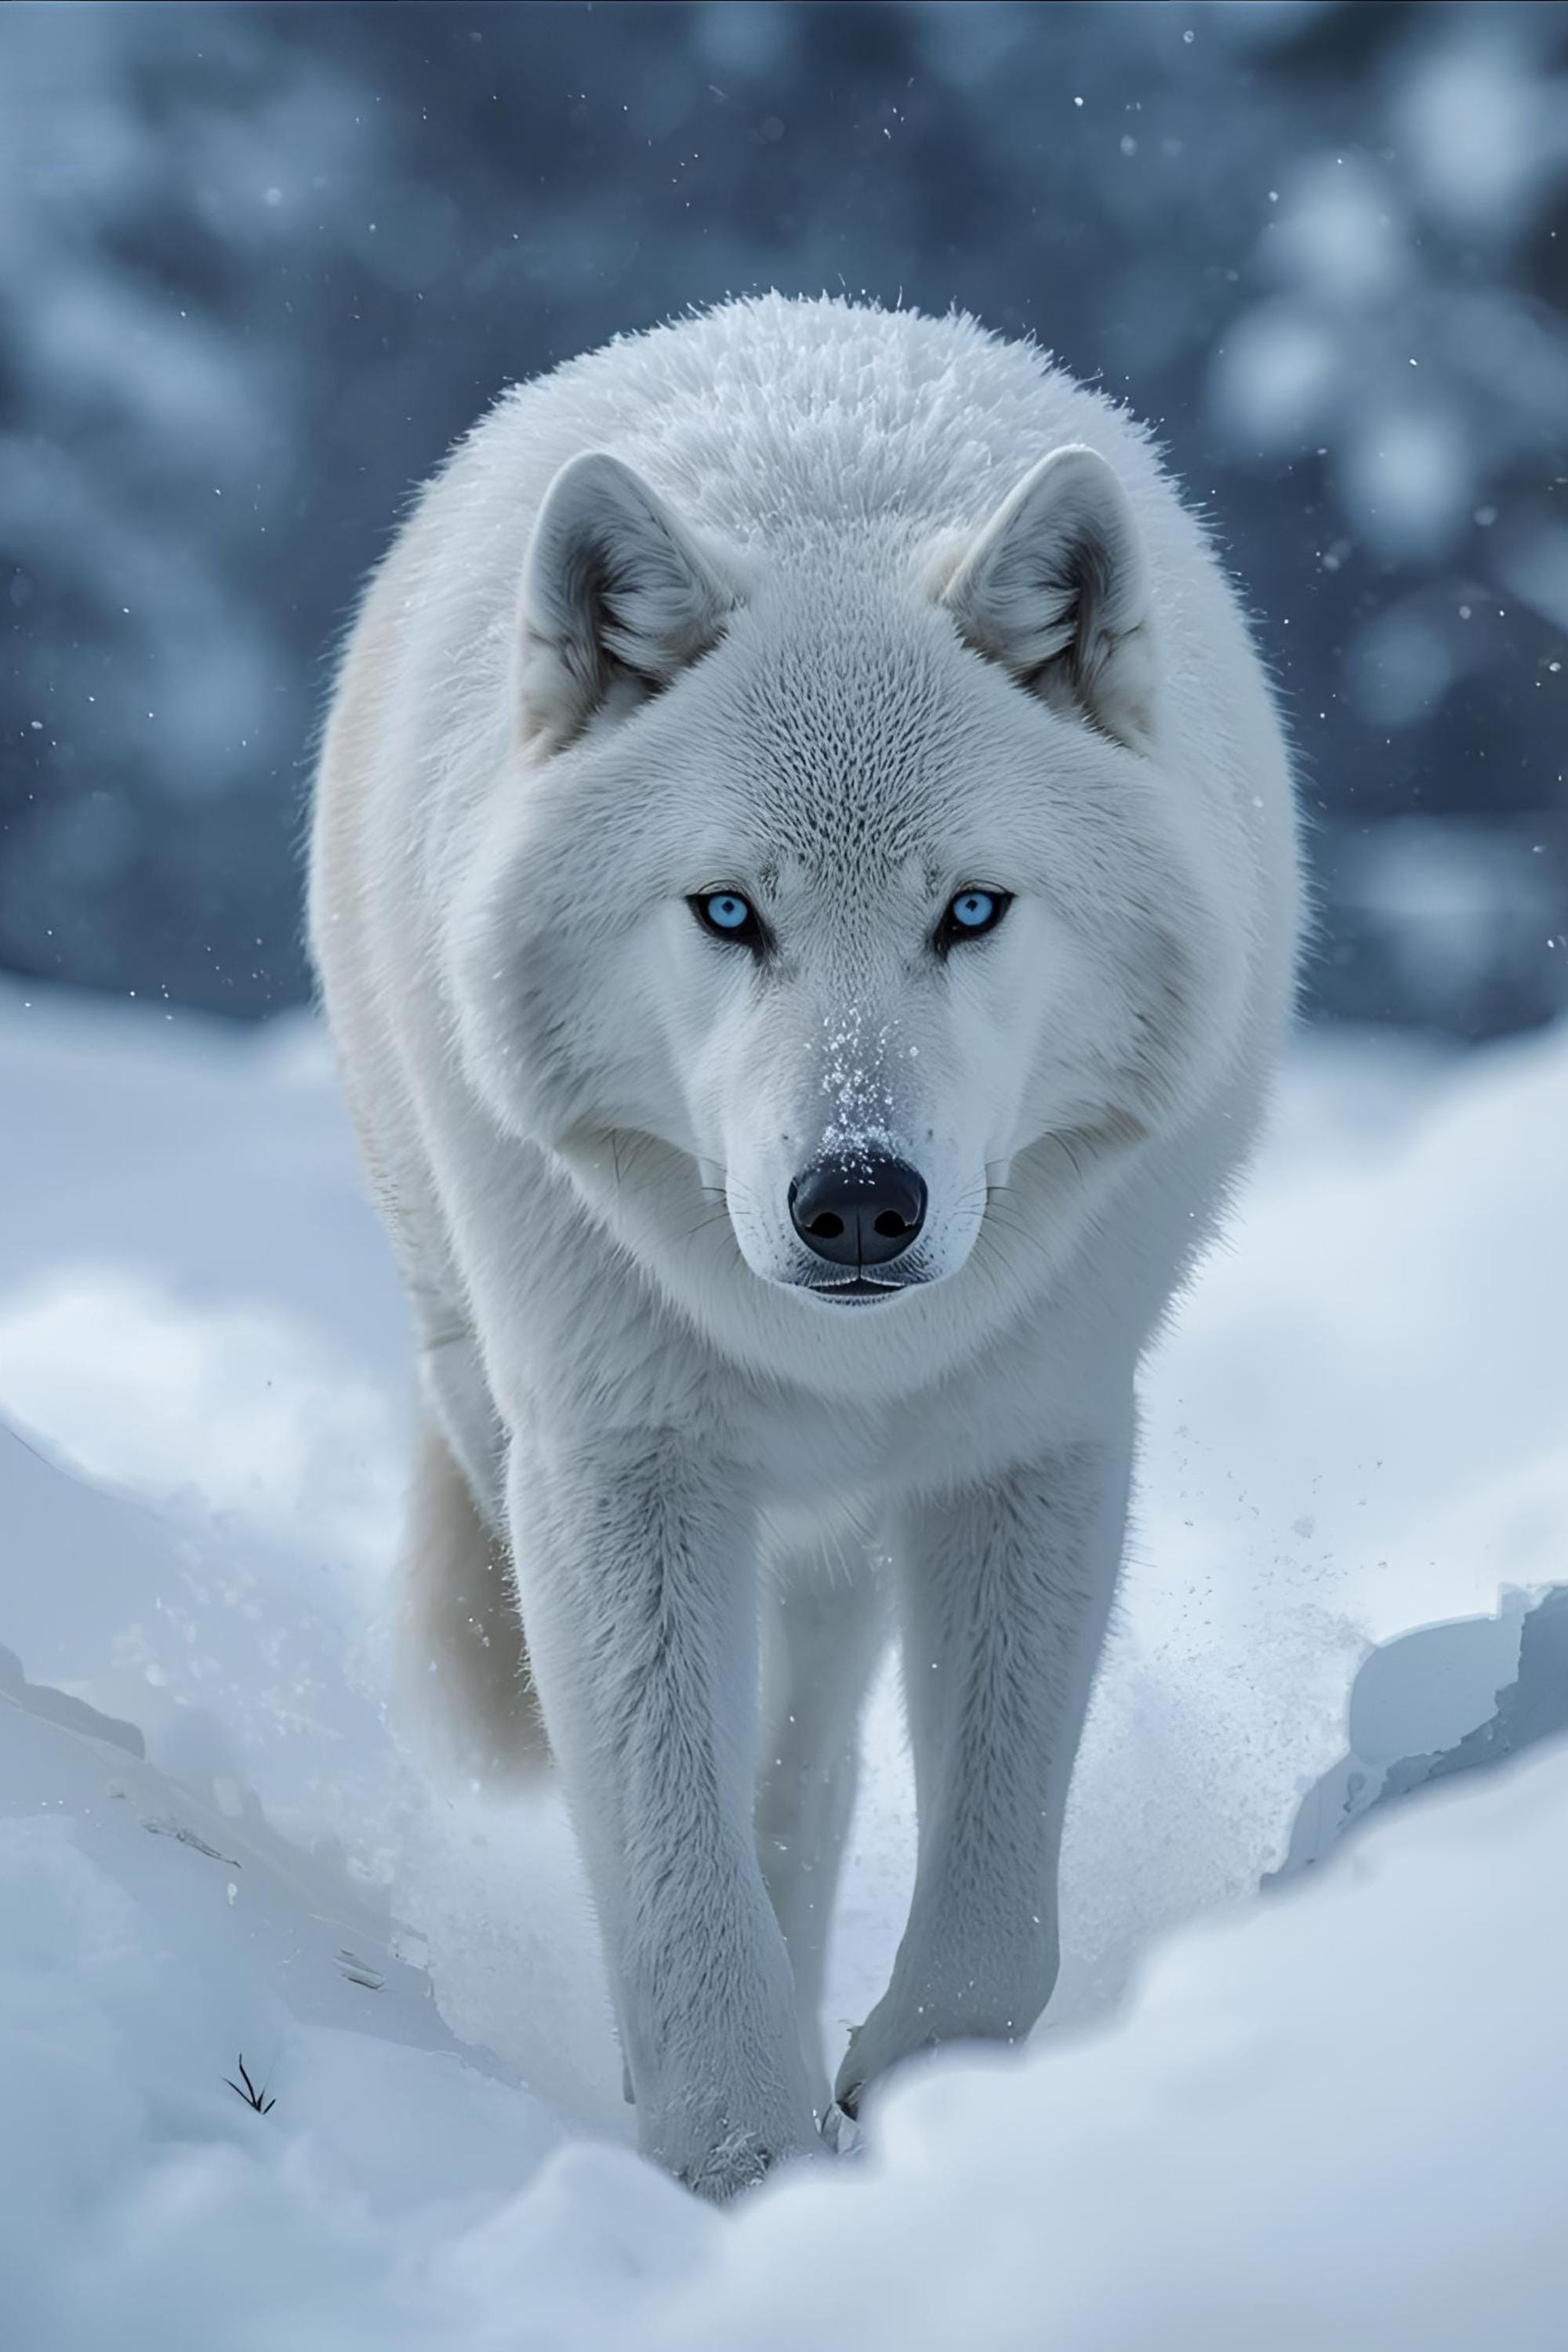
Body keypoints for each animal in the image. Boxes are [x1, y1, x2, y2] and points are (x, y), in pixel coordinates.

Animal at [309, 294, 1301, 2199]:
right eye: (727, 912)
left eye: (970, 909)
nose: (855, 1201)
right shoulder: (612, 1465)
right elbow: (669, 1879)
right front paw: (744, 2169)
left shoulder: (1037, 1448)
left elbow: (992, 1913)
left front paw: (929, 2108)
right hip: (490, 1387)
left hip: (838, 1549)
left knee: (811, 1765)